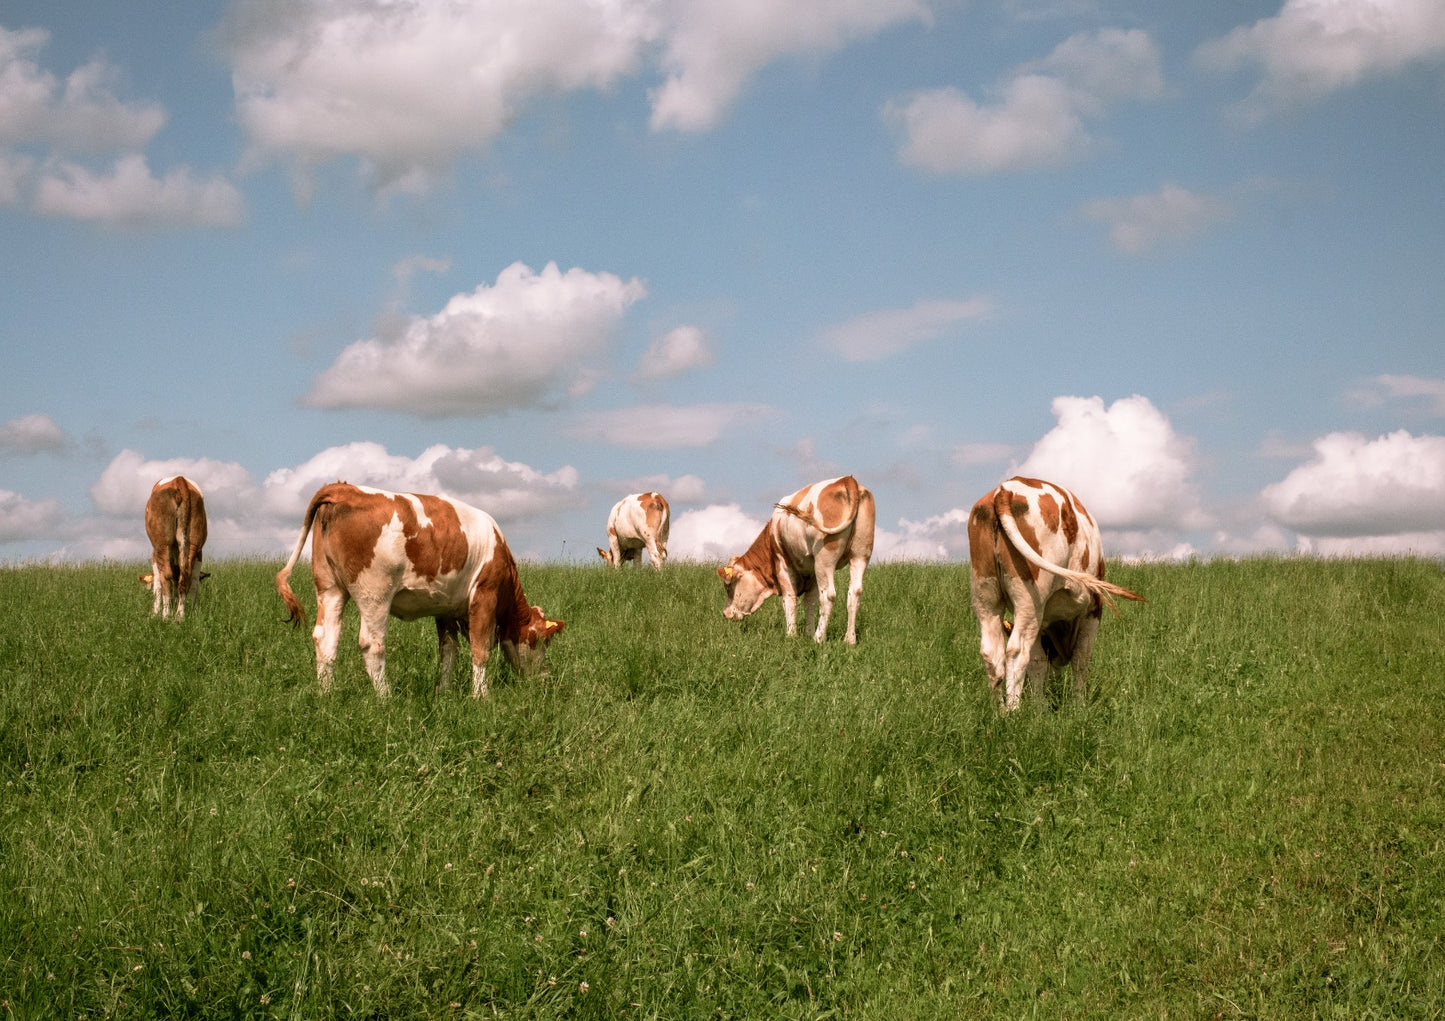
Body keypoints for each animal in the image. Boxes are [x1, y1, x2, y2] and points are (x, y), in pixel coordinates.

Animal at [139, 475, 208, 620]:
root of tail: (179, 479)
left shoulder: (154, 555)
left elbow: (157, 584)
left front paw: (154, 613)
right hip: (194, 544)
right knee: (188, 579)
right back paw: (180, 616)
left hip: (162, 544)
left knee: (166, 577)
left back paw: (166, 615)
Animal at [274, 483, 564, 698]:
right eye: (543, 640)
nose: (545, 678)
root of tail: (343, 488)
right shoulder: (485, 594)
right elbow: (480, 649)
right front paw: (481, 696)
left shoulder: (446, 608)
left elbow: (448, 652)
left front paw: (443, 693)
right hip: (375, 592)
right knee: (371, 643)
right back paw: (386, 697)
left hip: (329, 587)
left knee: (325, 638)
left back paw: (328, 695)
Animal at [718, 475, 875, 644]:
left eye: (728, 586)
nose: (725, 613)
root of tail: (847, 480)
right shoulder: (812, 572)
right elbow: (810, 603)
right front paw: (808, 633)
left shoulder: (783, 565)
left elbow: (789, 600)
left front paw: (791, 635)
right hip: (860, 555)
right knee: (855, 593)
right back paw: (849, 640)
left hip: (825, 559)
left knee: (828, 595)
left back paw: (819, 638)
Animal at [968, 476, 1144, 711]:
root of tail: (1005, 489)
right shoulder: (1093, 608)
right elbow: (1081, 658)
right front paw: (1079, 706)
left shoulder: (1041, 623)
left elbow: (1038, 662)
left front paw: (1039, 708)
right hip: (1029, 599)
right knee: (1016, 651)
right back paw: (1013, 711)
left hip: (987, 596)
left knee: (992, 653)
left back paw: (999, 712)